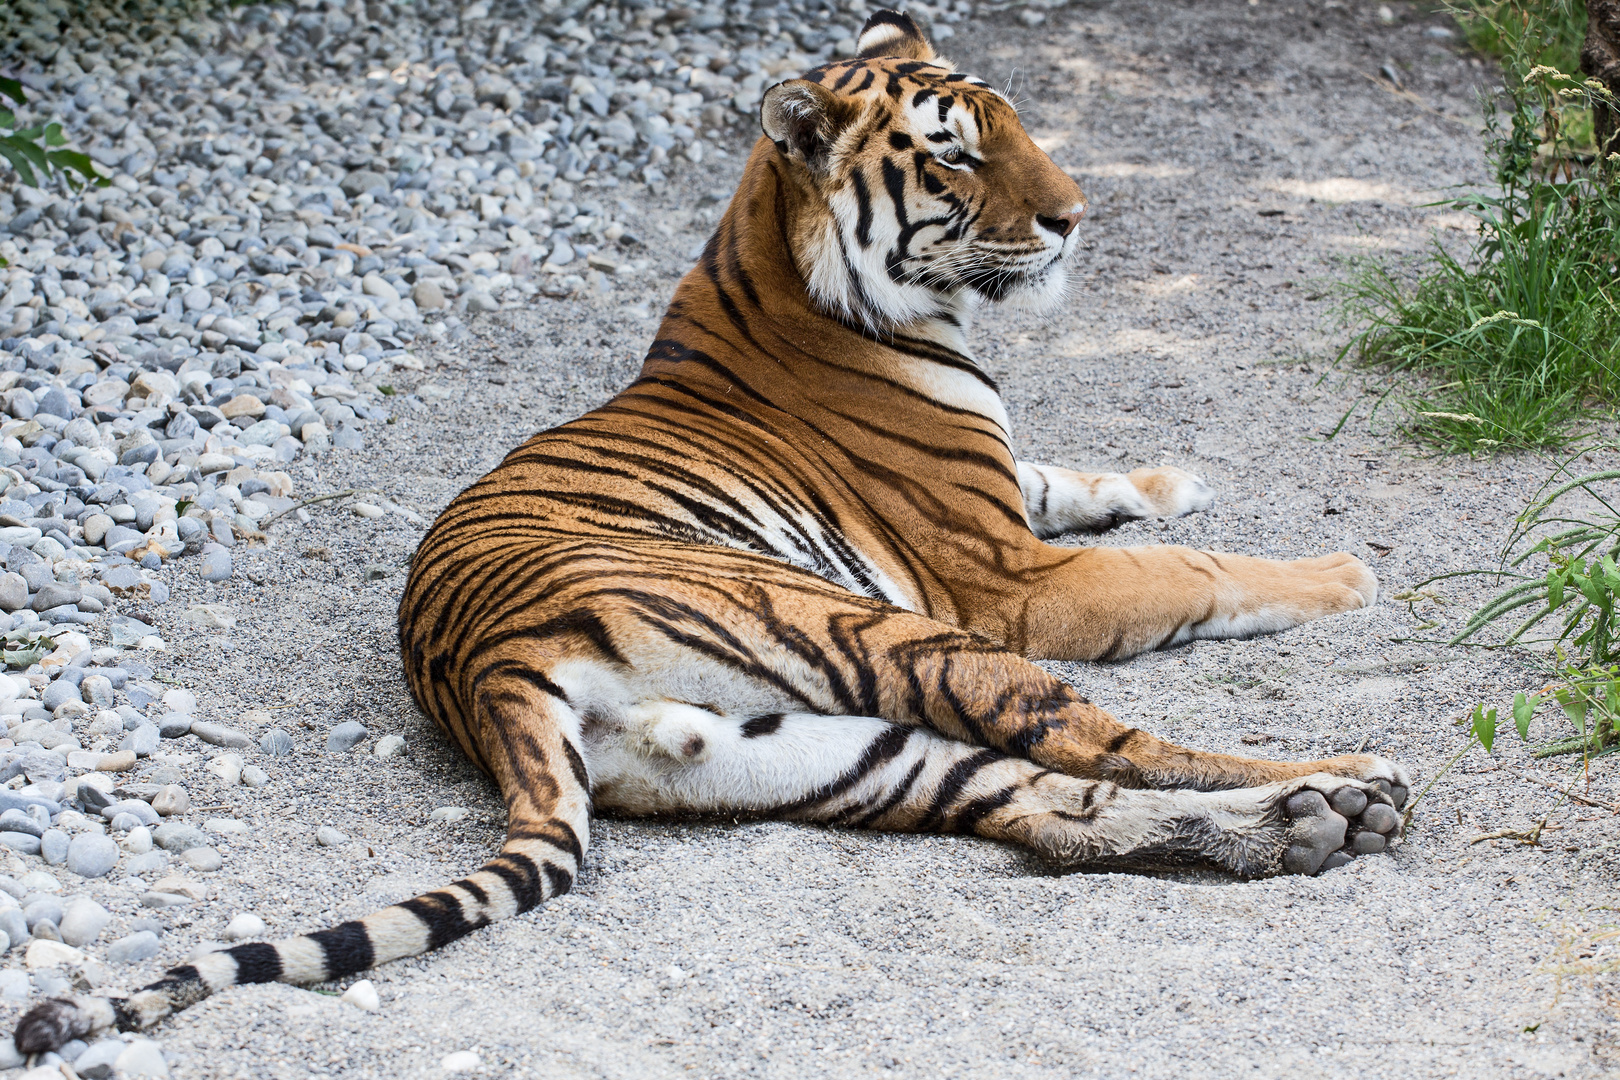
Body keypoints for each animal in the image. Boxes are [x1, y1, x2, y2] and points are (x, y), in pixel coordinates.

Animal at [9, 10, 1406, 1055]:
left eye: (1010, 126)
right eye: (955, 158)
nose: (1074, 217)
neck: (783, 267)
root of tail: (490, 672)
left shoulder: (1006, 513)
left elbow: (1073, 475)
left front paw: (1175, 474)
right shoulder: (1008, 579)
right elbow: (1188, 571)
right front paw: (1341, 570)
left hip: (839, 751)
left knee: (1049, 811)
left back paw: (1311, 826)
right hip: (897, 637)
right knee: (1115, 747)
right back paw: (1349, 780)